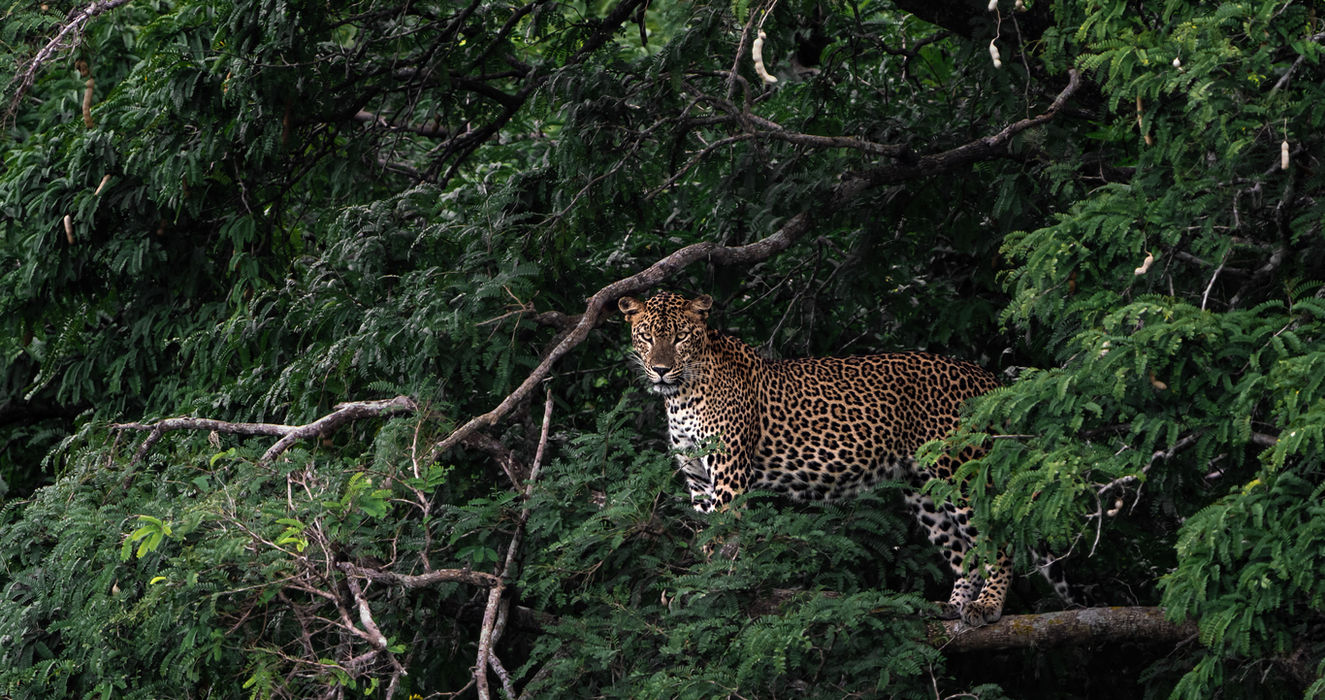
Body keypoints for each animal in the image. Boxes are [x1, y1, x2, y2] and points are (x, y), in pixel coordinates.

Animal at [619, 291, 1069, 628]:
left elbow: (722, 537)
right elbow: (704, 535)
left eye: (680, 337)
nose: (661, 370)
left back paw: (987, 605)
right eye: (646, 337)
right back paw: (954, 605)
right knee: (964, 551)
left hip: (959, 470)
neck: (680, 394)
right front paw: (696, 585)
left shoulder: (729, 471)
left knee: (998, 539)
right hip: (924, 488)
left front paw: (711, 588)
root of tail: (984, 378)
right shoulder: (697, 477)